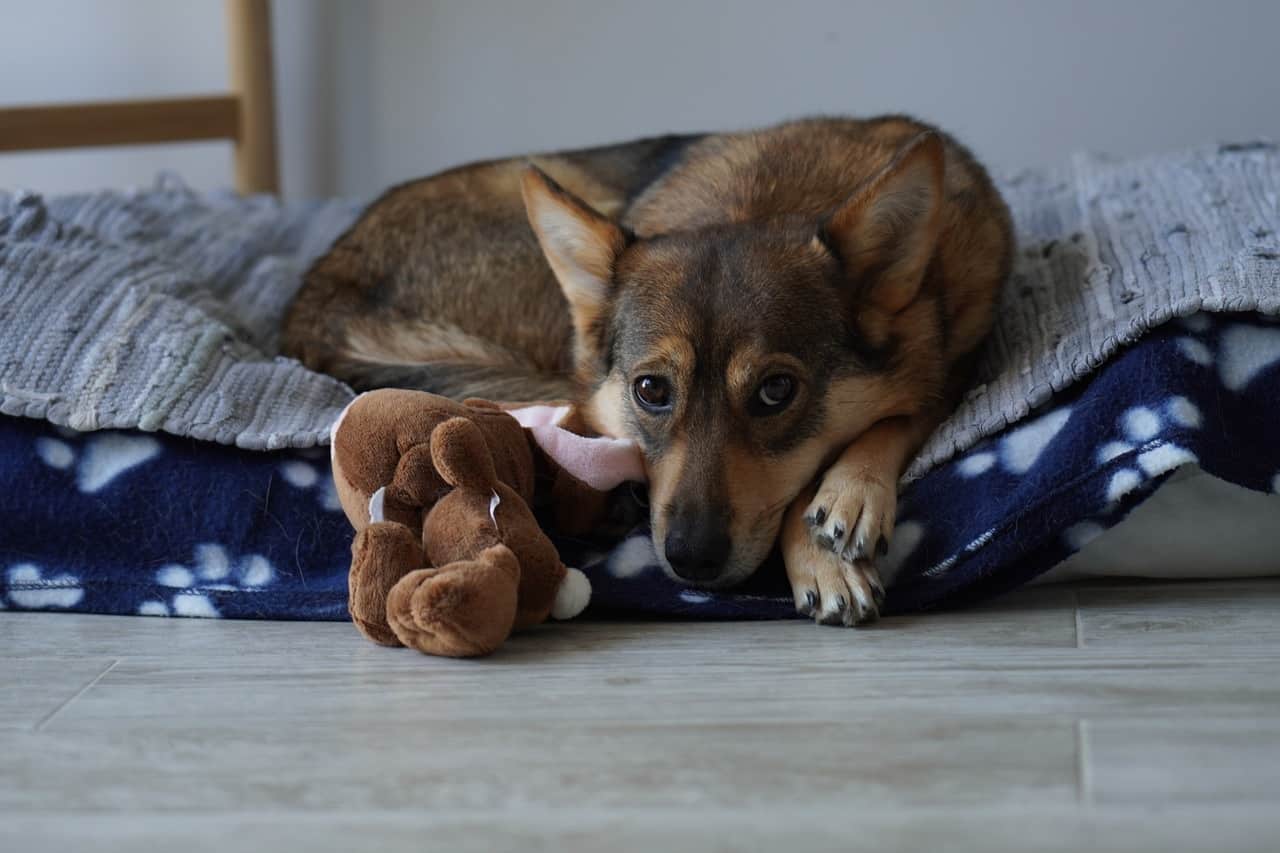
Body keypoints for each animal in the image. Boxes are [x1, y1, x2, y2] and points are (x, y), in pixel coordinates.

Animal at [285, 114, 1013, 625]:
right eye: (651, 390)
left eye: (777, 391)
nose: (690, 558)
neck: (761, 203)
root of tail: (312, 300)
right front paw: (823, 557)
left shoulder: (954, 364)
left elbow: (896, 416)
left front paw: (849, 496)